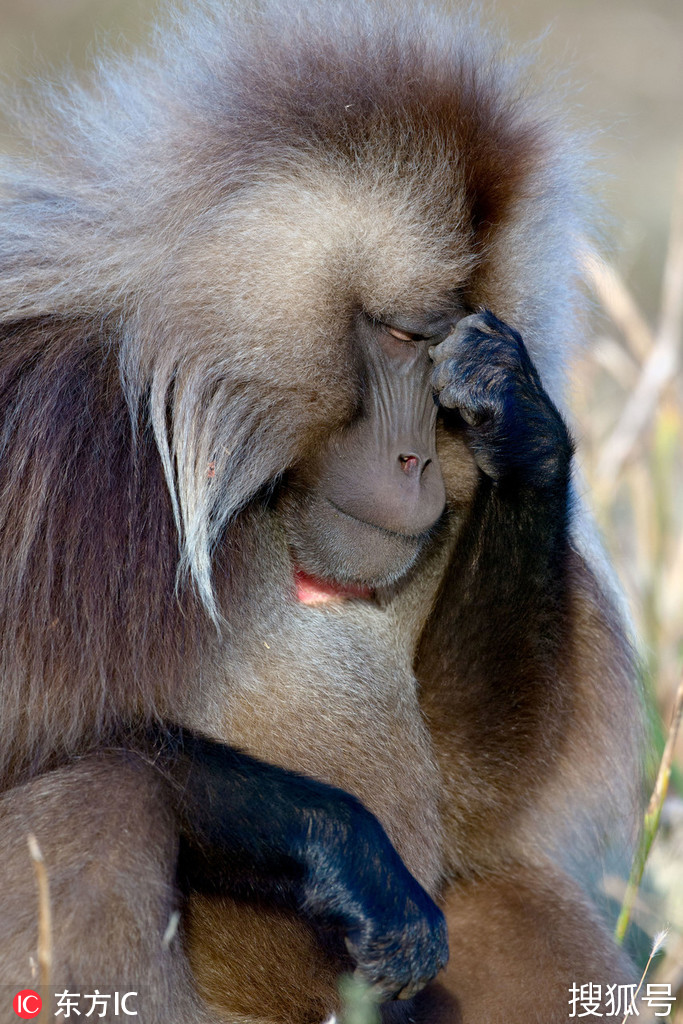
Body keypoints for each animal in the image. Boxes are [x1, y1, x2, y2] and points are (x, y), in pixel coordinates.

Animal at [0, 2, 647, 1024]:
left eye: (453, 350)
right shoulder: (49, 461)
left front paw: (525, 429)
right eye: (401, 335)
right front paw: (348, 853)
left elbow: (471, 808)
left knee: (503, 890)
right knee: (109, 795)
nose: (415, 461)